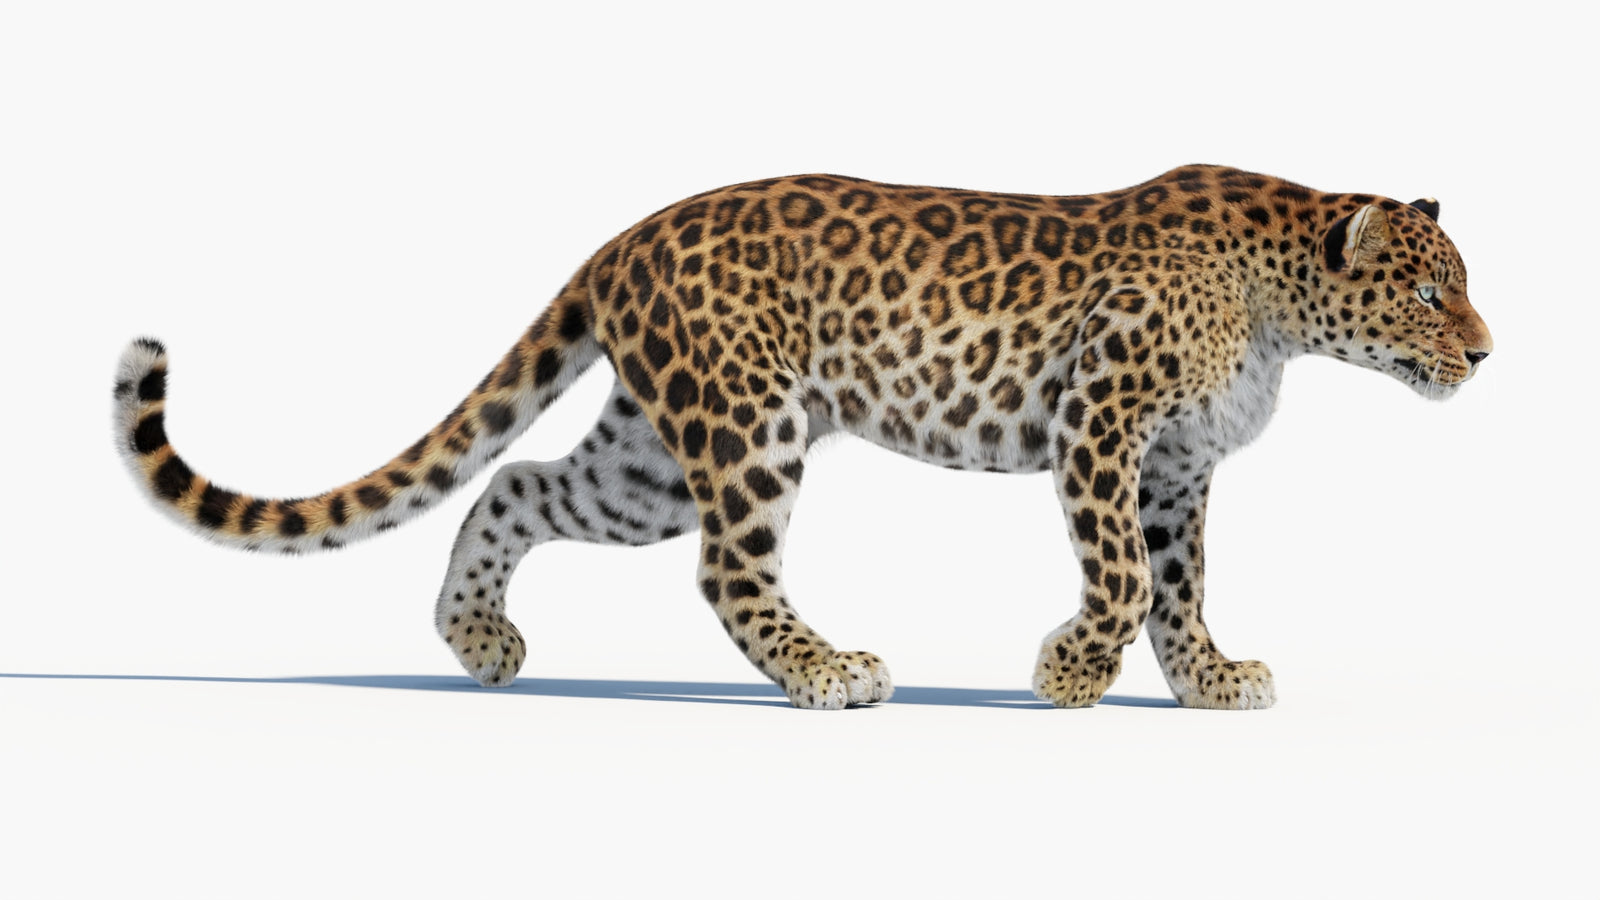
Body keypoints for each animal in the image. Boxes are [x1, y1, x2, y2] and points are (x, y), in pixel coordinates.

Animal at [112, 165, 1493, 710]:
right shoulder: (1103, 423)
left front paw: (1208, 682)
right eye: (1430, 293)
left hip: (649, 461)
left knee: (519, 483)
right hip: (746, 422)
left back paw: (481, 641)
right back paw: (829, 672)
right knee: (727, 569)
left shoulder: (1174, 465)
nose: (1486, 352)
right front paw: (1066, 675)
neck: (1283, 308)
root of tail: (624, 236)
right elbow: (1124, 579)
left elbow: (1180, 583)